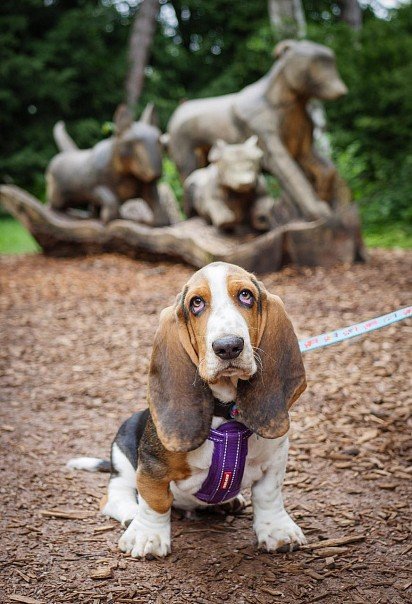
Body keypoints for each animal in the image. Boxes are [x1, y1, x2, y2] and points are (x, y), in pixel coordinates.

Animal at [67, 262, 306, 560]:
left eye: (246, 295)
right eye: (196, 303)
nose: (228, 346)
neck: (224, 415)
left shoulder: (275, 457)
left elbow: (268, 495)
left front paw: (278, 531)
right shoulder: (152, 466)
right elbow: (155, 500)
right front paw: (148, 536)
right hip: (122, 454)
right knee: (115, 496)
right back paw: (132, 516)